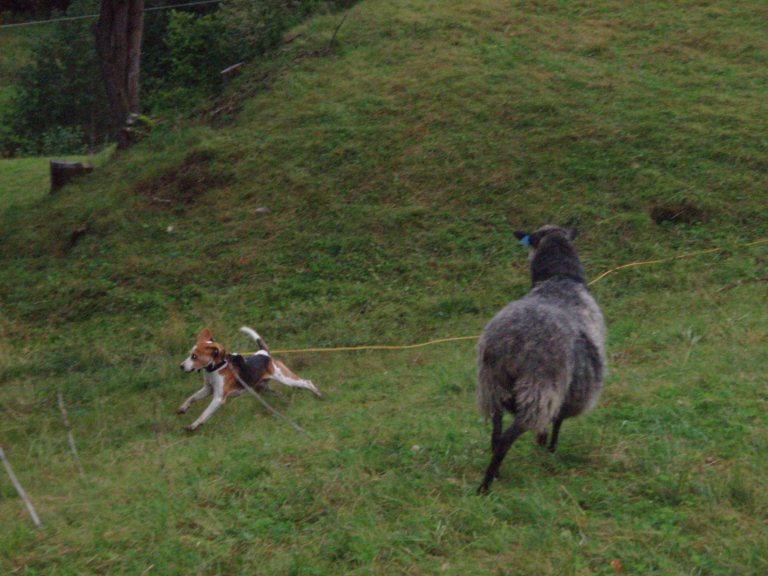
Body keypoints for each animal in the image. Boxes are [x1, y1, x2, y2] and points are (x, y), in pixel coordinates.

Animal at [474, 223, 608, 492]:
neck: (559, 280)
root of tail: (512, 342)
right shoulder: (564, 388)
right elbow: (557, 420)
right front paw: (550, 449)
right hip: (539, 388)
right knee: (507, 437)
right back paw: (486, 485)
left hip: (493, 385)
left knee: (496, 433)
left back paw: (496, 473)